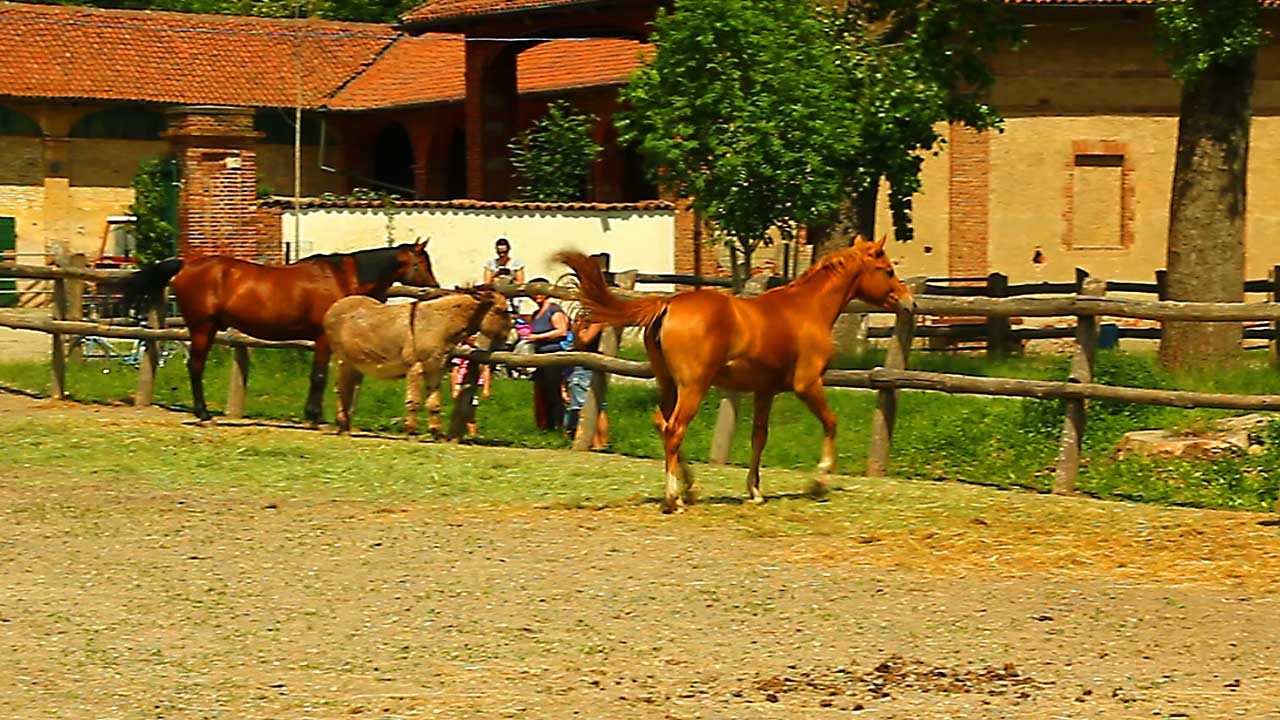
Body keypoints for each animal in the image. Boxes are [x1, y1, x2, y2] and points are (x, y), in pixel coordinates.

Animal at [120, 242, 440, 420]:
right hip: (202, 328)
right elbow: (319, 378)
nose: (434, 288)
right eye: (421, 263)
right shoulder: (323, 340)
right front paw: (314, 416)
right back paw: (203, 412)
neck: (340, 278)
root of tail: (186, 264)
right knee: (196, 367)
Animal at [322, 286, 512, 435]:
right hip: (342, 360)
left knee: (352, 389)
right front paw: (412, 432)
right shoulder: (415, 366)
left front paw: (436, 433)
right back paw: (342, 425)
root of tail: (335, 305)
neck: (439, 324)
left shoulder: (435, 369)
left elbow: (434, 404)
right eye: (502, 311)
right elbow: (413, 401)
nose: (509, 341)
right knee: (341, 390)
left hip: (356, 364)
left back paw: (346, 426)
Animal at [558, 235, 911, 509]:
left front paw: (755, 491)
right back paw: (675, 498)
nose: (908, 303)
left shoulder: (765, 390)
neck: (807, 308)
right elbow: (830, 422)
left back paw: (690, 487)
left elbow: (759, 437)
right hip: (693, 386)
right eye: (888, 270)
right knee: (674, 430)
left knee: (663, 424)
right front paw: (819, 480)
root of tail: (667, 305)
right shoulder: (807, 383)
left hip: (668, 383)